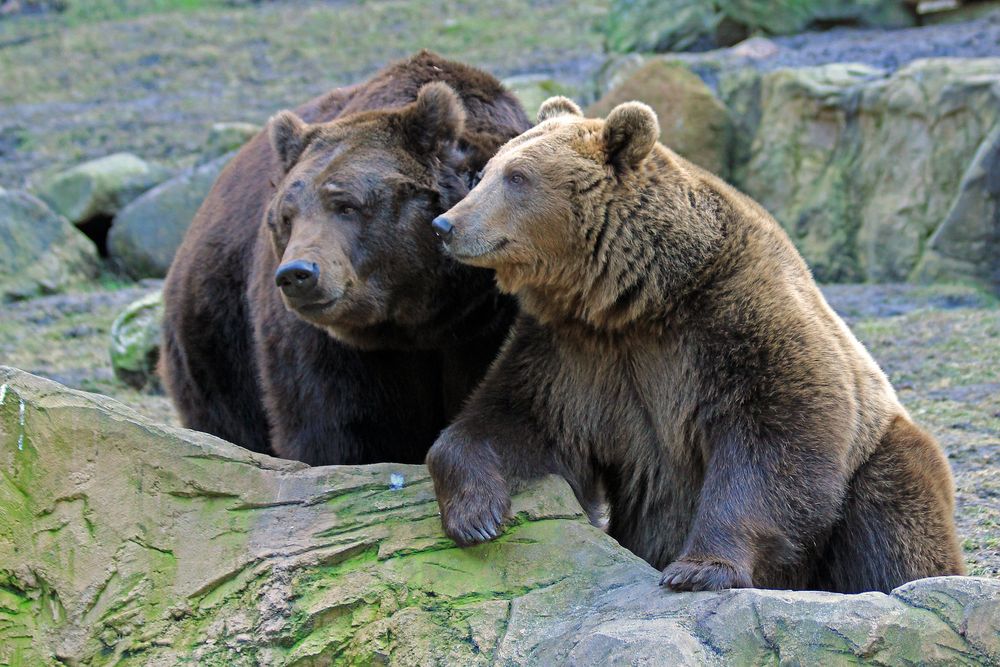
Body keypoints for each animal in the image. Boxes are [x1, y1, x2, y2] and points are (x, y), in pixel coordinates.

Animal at [160, 52, 529, 465]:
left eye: (346, 205)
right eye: (286, 217)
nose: (297, 273)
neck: (420, 318)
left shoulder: (484, 324)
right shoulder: (330, 347)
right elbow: (341, 428)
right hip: (216, 340)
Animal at [425, 96, 965, 593]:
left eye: (518, 177)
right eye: (486, 171)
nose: (446, 225)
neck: (633, 297)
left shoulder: (733, 320)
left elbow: (776, 437)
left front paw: (700, 568)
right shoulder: (574, 352)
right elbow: (511, 421)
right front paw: (478, 515)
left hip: (882, 457)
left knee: (893, 524)